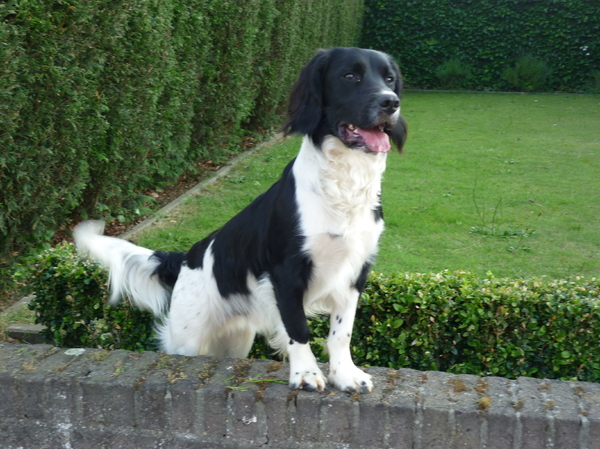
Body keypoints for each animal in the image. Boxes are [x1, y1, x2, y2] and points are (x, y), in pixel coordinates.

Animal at [72, 47, 406, 392]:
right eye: (349, 76)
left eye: (389, 79)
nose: (390, 102)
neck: (343, 187)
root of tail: (183, 258)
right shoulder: (286, 272)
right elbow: (297, 329)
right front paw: (305, 374)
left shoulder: (355, 271)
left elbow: (342, 332)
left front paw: (345, 374)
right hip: (188, 340)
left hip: (237, 341)